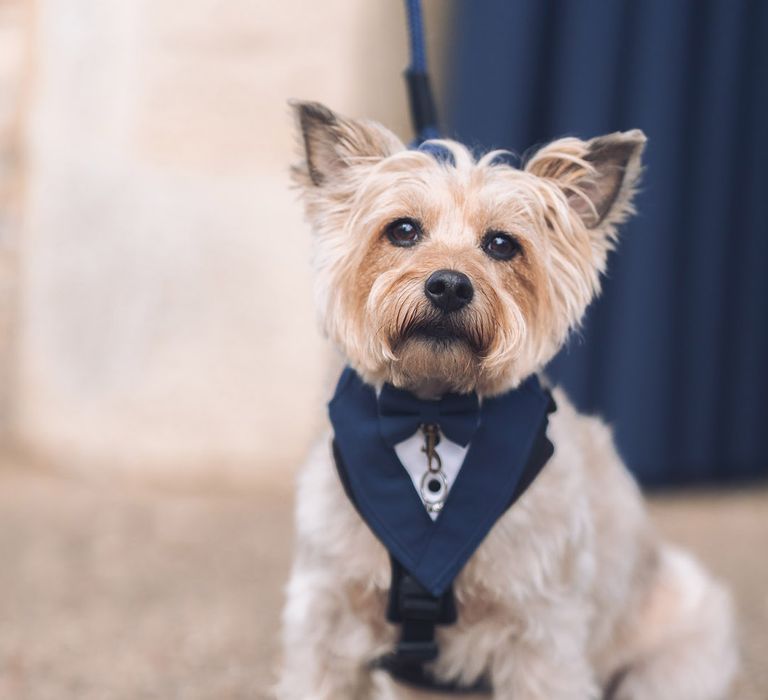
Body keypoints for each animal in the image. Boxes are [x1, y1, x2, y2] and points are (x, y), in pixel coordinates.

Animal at [276, 100, 736, 700]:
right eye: (402, 230)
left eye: (501, 244)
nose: (449, 285)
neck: (433, 413)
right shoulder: (326, 614)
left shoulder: (541, 635)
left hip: (674, 656)